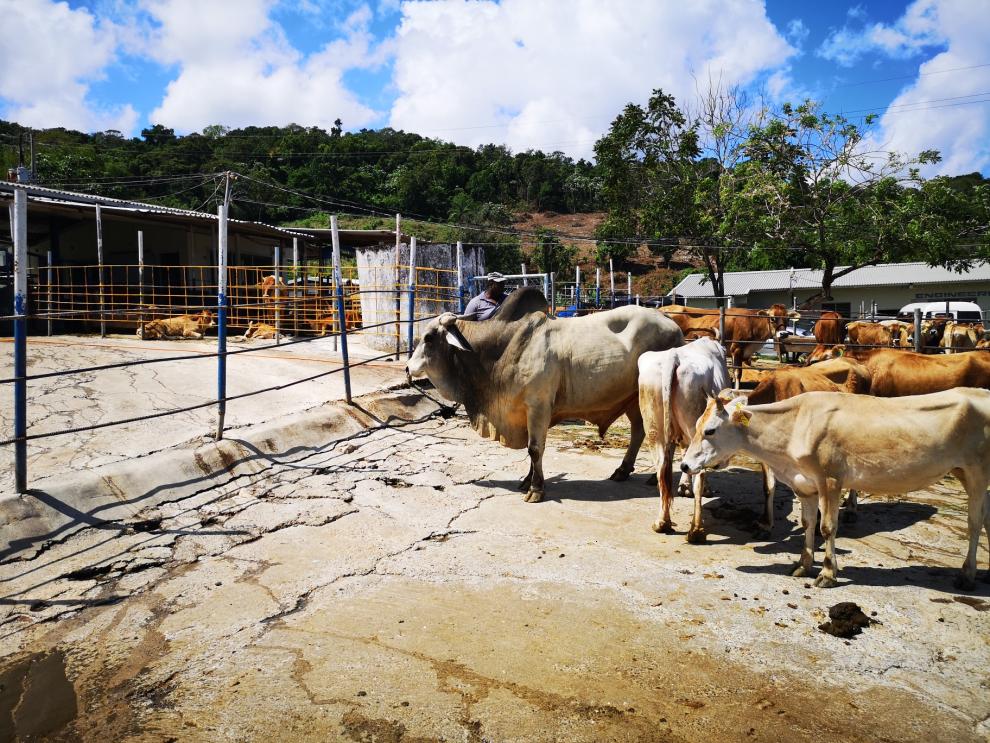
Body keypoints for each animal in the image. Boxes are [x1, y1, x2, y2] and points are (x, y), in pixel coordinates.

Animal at [640, 340, 780, 544]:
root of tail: (673, 357)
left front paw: (684, 487)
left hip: (654, 430)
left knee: (662, 471)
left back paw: (662, 522)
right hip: (694, 429)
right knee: (699, 474)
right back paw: (696, 531)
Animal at [680, 386, 990, 588]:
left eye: (710, 430)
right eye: (697, 425)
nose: (684, 465)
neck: (794, 426)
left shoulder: (830, 480)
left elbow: (827, 527)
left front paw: (828, 573)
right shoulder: (804, 484)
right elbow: (807, 524)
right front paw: (803, 565)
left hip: (977, 473)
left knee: (975, 523)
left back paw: (967, 575)